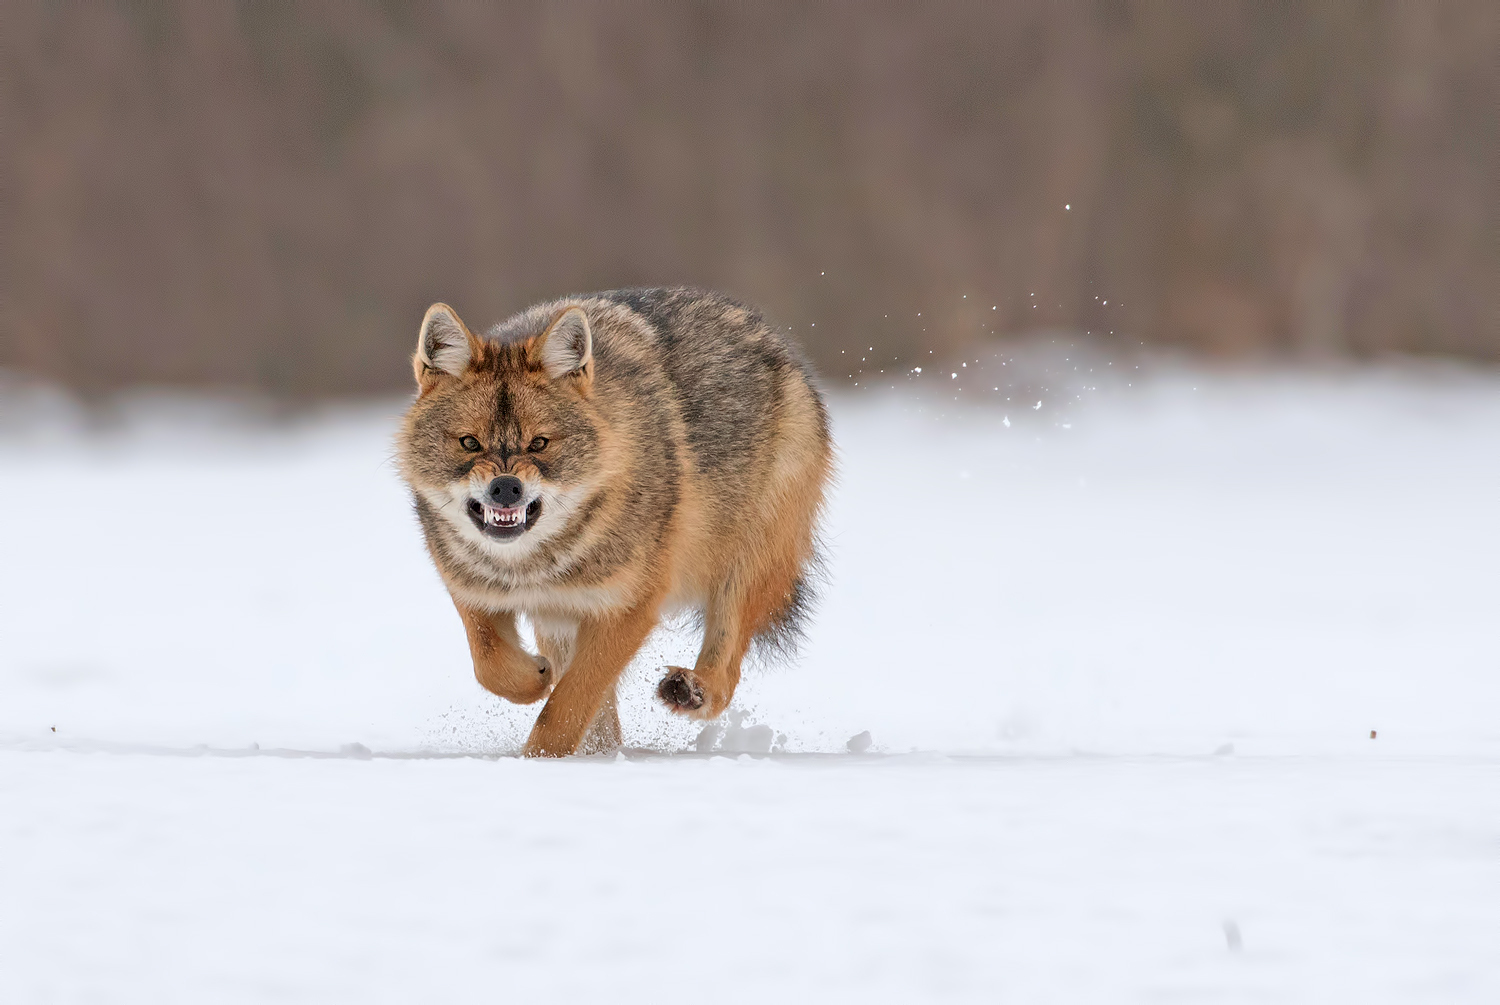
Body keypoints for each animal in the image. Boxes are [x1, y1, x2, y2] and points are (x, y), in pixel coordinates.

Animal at [399, 288, 840, 759]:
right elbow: (492, 666)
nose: (506, 488)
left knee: (725, 676)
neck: (532, 566)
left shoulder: (628, 609)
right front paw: (535, 678)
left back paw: (690, 690)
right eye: (469, 443)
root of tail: (773, 339)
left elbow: (566, 707)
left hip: (741, 572)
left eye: (539, 443)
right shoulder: (473, 591)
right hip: (561, 623)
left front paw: (538, 761)